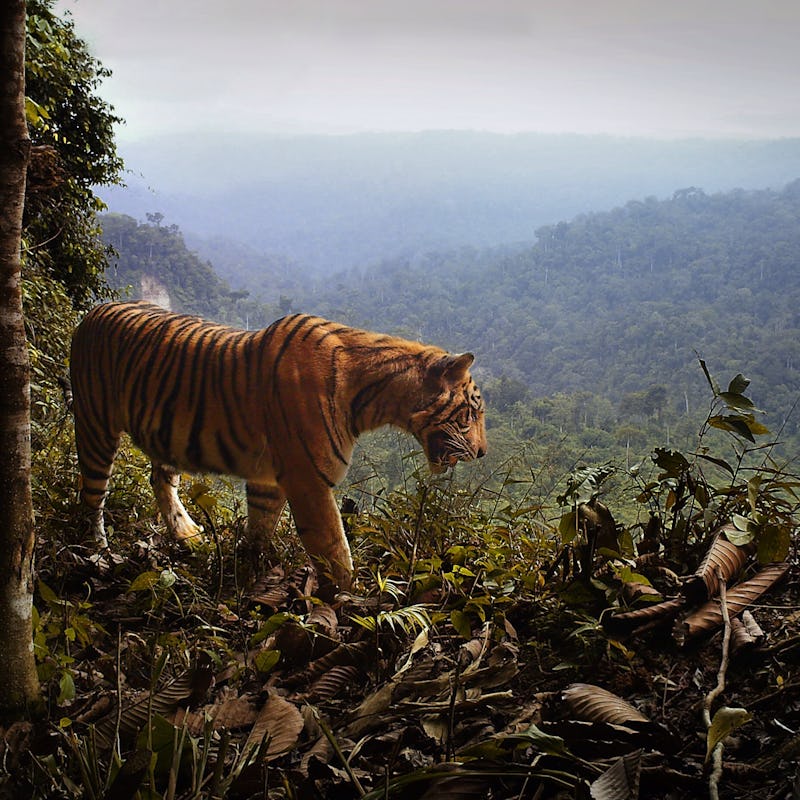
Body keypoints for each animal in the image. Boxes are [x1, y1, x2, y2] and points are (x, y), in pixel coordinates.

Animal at [72, 300, 488, 588]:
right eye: (472, 413)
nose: (483, 452)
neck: (374, 398)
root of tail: (95, 310)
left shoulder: (268, 479)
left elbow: (260, 527)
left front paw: (247, 571)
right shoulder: (309, 481)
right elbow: (334, 548)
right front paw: (352, 602)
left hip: (164, 437)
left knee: (159, 478)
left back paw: (187, 534)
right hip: (95, 428)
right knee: (90, 498)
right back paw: (97, 553)